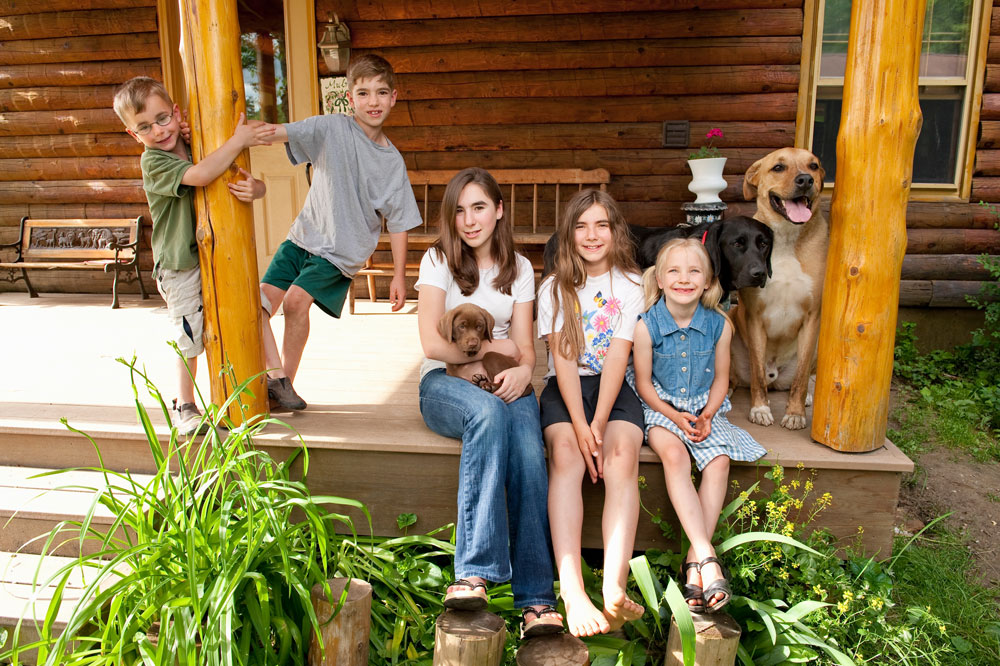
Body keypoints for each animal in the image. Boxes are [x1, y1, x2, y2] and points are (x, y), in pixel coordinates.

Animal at [728, 146, 828, 428]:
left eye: (813, 165)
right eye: (778, 168)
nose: (805, 180)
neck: (784, 239)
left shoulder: (812, 316)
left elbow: (801, 378)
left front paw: (795, 413)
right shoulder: (754, 316)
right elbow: (758, 375)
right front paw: (760, 409)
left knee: (805, 376)